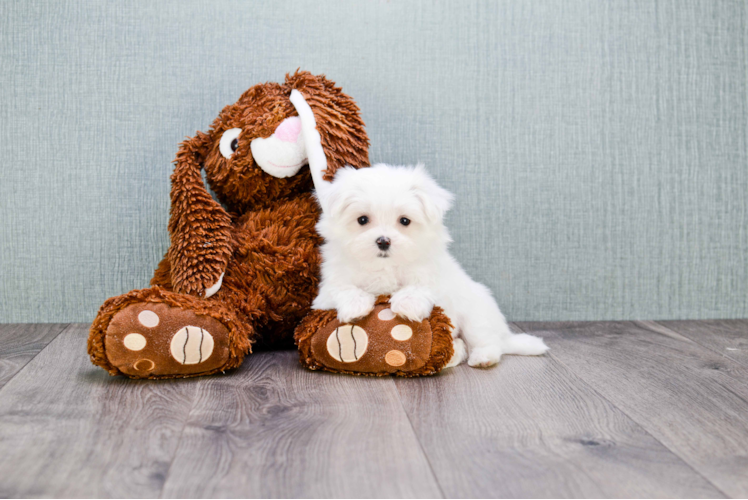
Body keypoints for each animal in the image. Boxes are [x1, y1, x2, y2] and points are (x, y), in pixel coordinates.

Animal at [290, 91, 548, 368]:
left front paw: (407, 303)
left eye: (404, 221)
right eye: (362, 220)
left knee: (486, 340)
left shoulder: (436, 280)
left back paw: (482, 357)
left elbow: (421, 285)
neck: (384, 267)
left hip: (476, 312)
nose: (383, 241)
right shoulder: (326, 290)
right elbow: (343, 288)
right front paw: (356, 305)